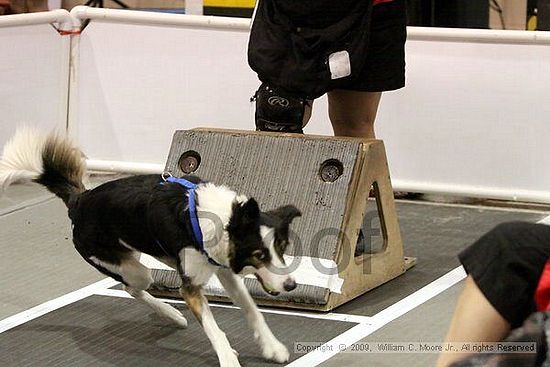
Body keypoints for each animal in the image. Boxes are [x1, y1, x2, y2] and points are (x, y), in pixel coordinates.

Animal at [0, 128, 302, 366]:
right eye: (259, 254)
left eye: (282, 247)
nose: (291, 286)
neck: (223, 219)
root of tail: (80, 201)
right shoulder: (191, 287)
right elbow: (214, 328)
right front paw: (228, 358)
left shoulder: (223, 269)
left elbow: (252, 309)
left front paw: (272, 347)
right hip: (129, 268)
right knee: (131, 287)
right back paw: (172, 314)